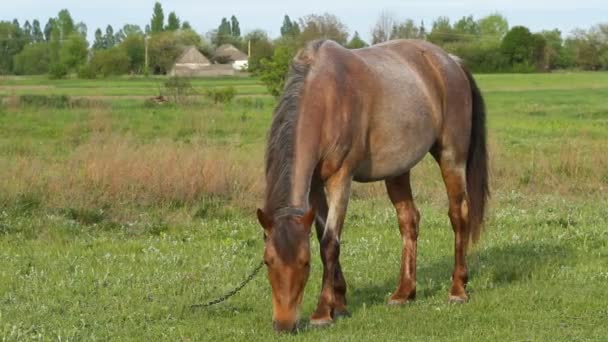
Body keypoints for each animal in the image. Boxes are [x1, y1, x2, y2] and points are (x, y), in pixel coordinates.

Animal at [256, 39, 490, 332]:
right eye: (267, 261)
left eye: (305, 262)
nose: (284, 324)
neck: (325, 98)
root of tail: (451, 61)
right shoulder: (315, 186)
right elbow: (324, 235)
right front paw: (339, 304)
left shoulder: (341, 179)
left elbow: (330, 243)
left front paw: (322, 312)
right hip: (398, 170)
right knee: (409, 221)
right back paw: (404, 293)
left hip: (451, 158)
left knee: (459, 216)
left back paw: (458, 289)